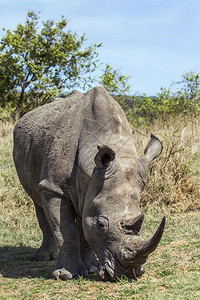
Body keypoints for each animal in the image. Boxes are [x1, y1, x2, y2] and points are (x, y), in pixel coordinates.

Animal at [13, 86, 165, 282]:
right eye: (101, 224)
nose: (127, 274)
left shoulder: (92, 189)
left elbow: (85, 226)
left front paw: (91, 268)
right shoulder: (53, 187)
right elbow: (66, 229)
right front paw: (67, 275)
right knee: (37, 198)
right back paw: (43, 258)